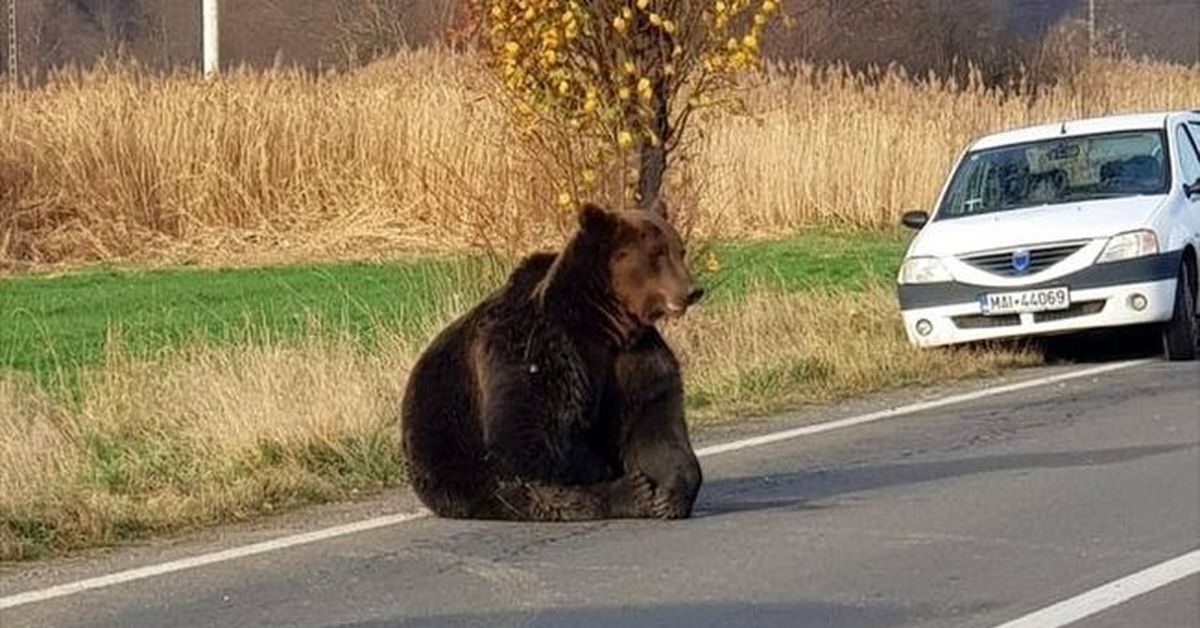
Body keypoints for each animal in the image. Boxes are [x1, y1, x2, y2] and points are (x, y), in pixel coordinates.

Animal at [400, 204, 700, 523]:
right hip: (453, 459)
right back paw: (629, 493)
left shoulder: (634, 359)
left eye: (679, 249)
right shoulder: (535, 349)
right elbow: (527, 434)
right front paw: (638, 488)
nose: (692, 290)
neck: (604, 324)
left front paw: (669, 495)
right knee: (530, 491)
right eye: (657, 253)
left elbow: (654, 423)